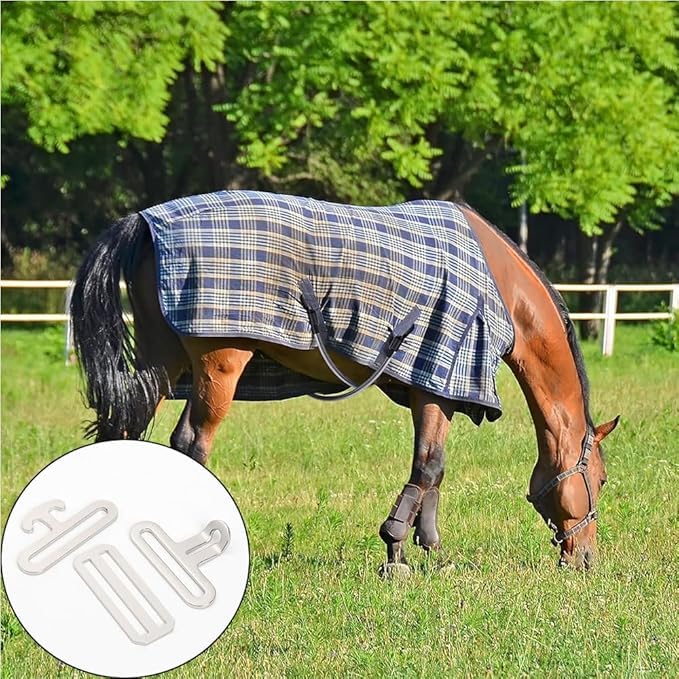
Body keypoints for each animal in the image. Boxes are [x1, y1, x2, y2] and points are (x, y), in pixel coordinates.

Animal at [70, 191, 618, 574]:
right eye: (601, 480)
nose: (586, 559)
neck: (500, 288)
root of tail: (145, 221)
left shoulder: (434, 388)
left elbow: (433, 470)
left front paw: (424, 547)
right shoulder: (438, 383)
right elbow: (427, 466)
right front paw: (396, 550)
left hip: (160, 363)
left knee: (126, 432)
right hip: (217, 367)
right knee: (191, 443)